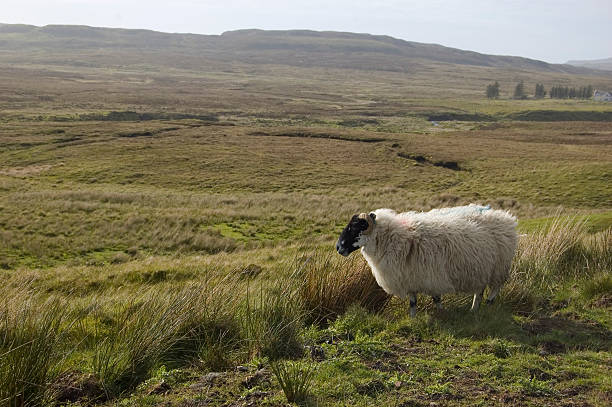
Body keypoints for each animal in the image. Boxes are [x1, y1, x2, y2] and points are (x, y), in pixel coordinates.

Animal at [334, 206, 516, 318]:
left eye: (357, 227)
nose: (338, 247)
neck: (392, 237)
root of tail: (506, 217)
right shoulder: (411, 277)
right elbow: (413, 302)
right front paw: (412, 318)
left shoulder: (431, 275)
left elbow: (436, 298)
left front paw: (441, 313)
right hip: (482, 268)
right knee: (479, 291)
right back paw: (474, 309)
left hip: (498, 267)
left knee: (495, 288)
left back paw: (489, 304)